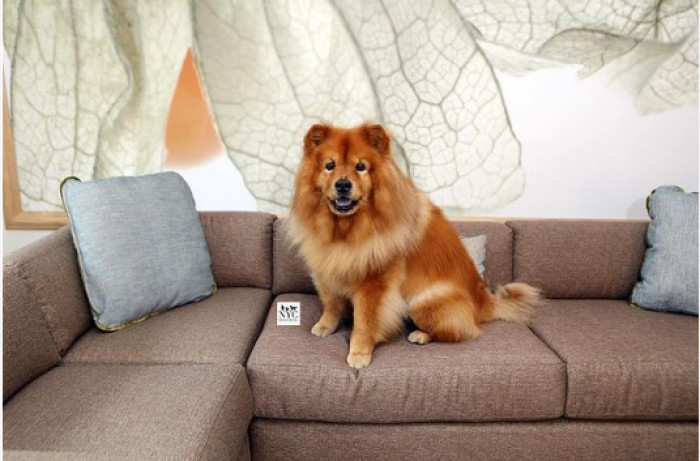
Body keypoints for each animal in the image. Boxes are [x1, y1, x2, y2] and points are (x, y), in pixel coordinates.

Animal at [288, 122, 540, 366]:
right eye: (330, 165)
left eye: (360, 167)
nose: (342, 185)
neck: (346, 230)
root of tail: (483, 301)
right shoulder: (327, 267)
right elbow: (331, 303)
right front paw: (325, 326)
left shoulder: (374, 285)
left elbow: (365, 322)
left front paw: (359, 354)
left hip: (422, 302)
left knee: (459, 331)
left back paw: (420, 335)